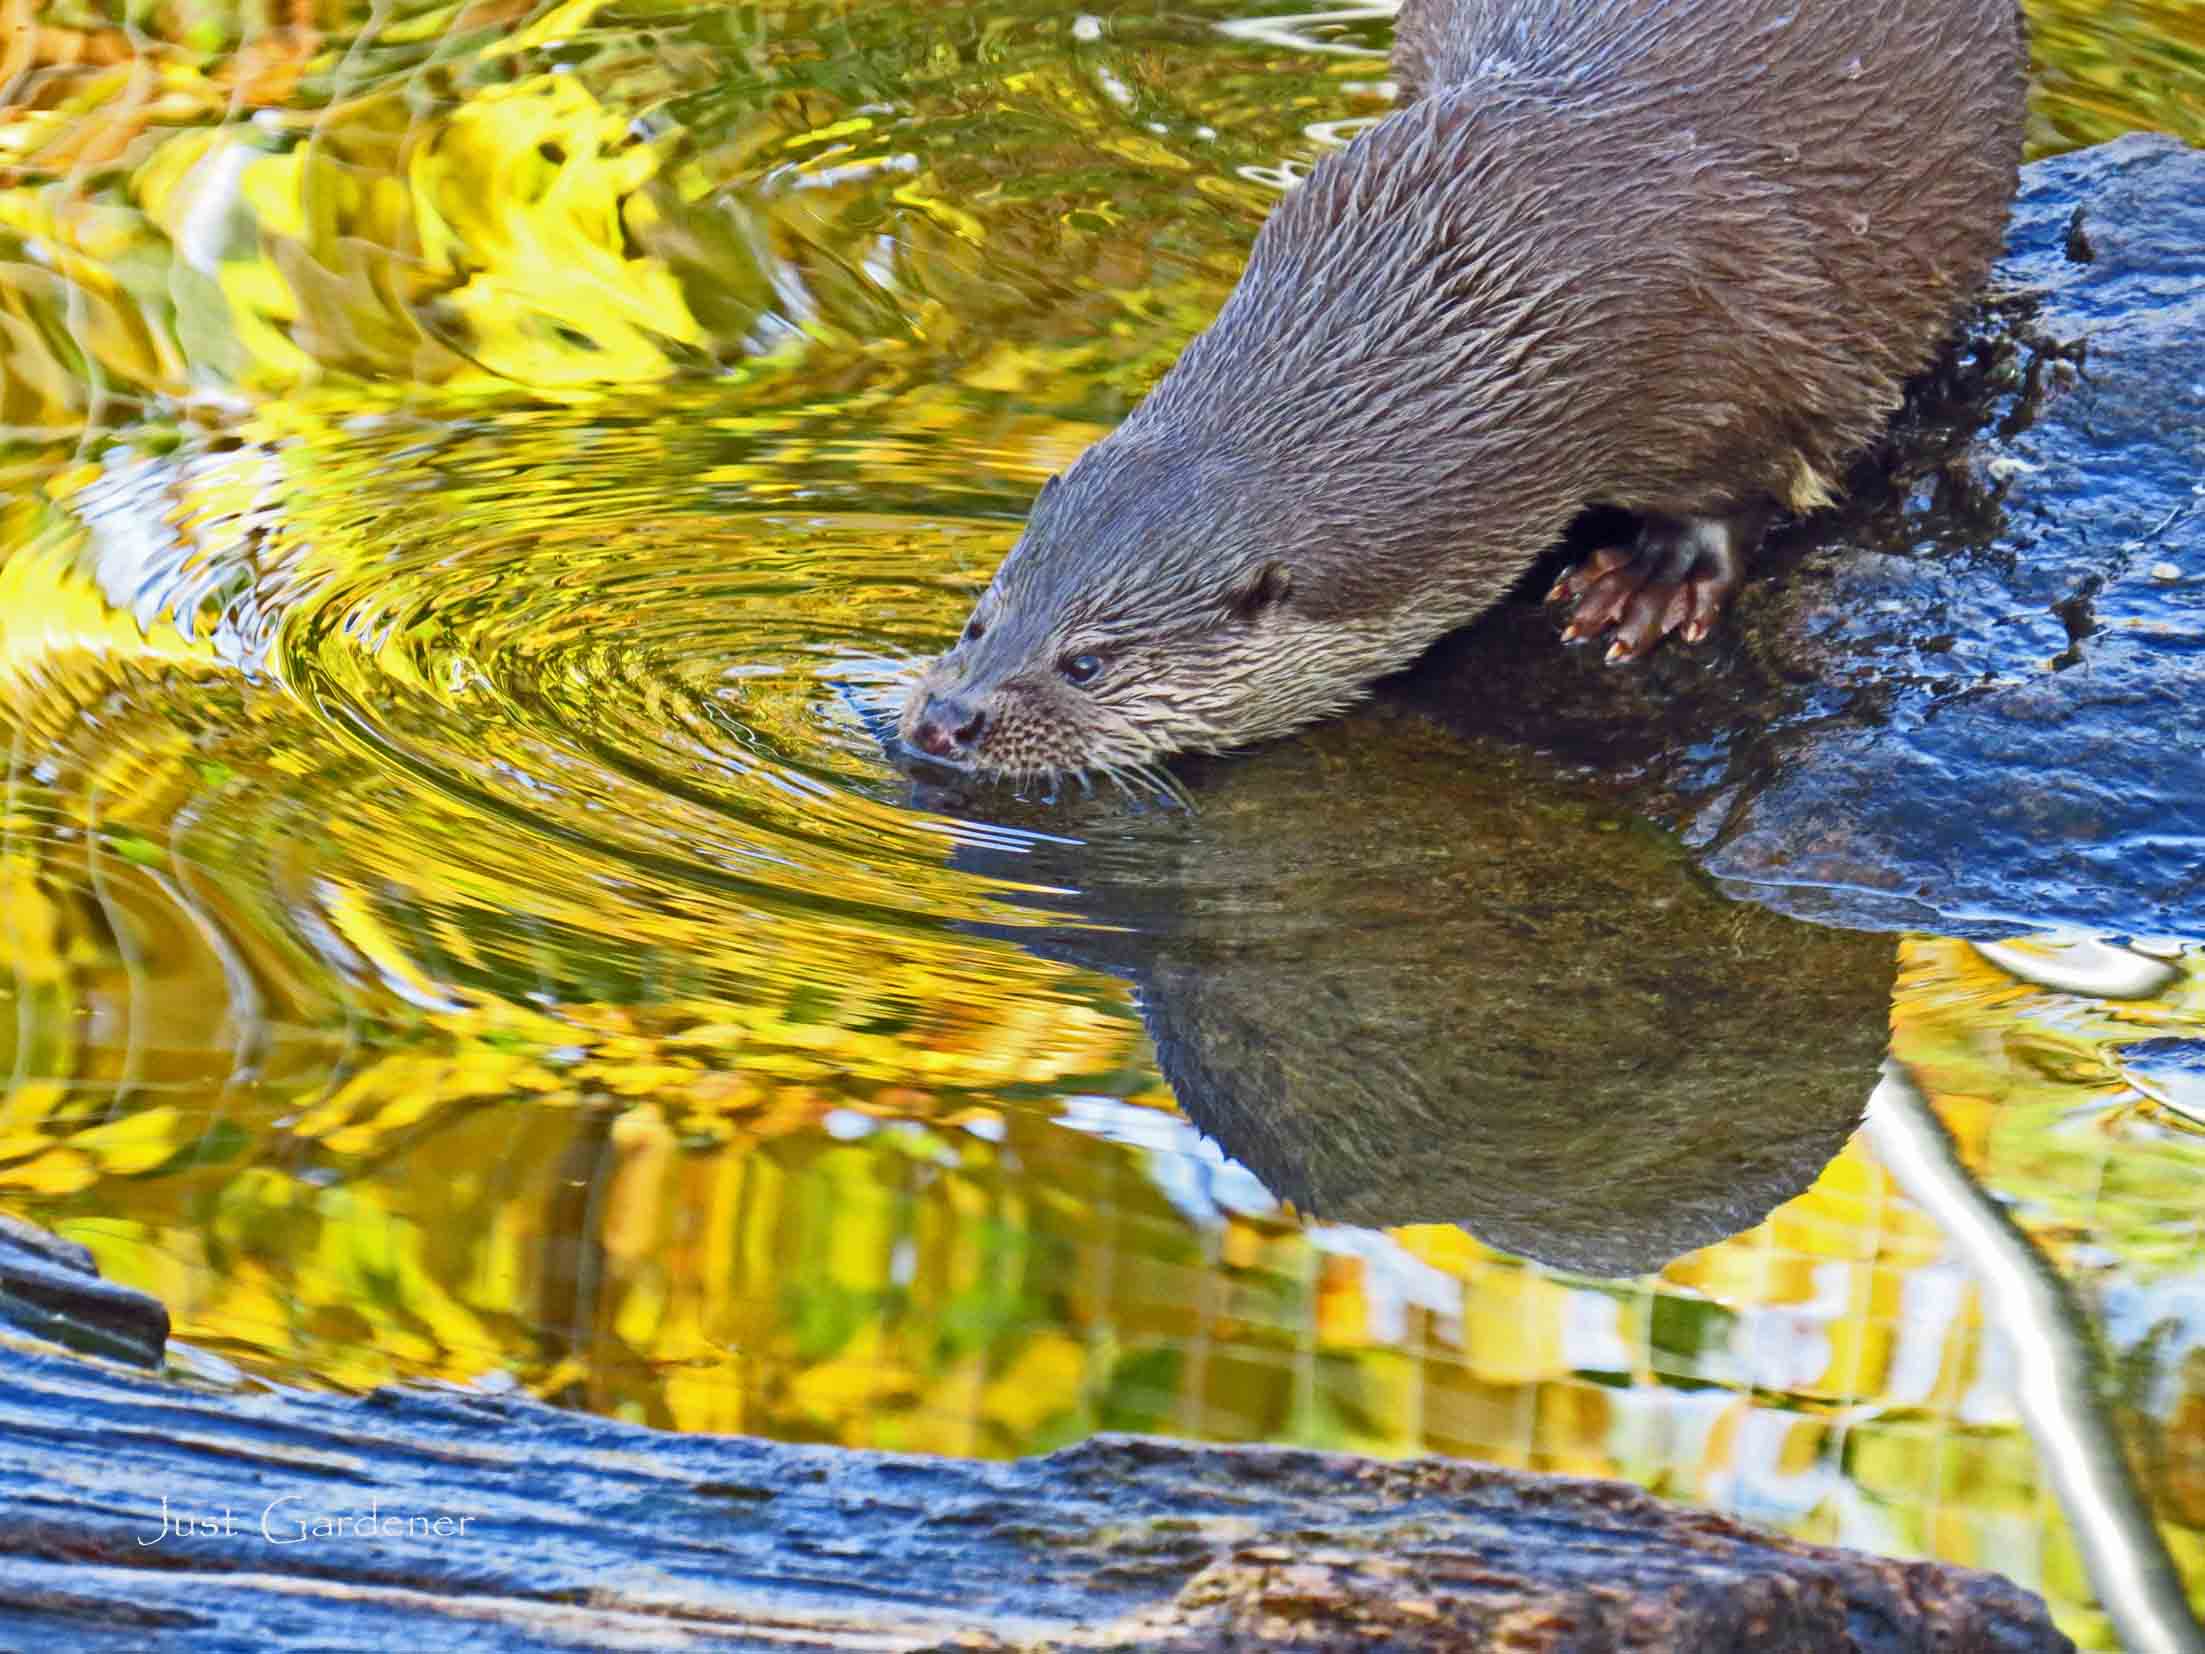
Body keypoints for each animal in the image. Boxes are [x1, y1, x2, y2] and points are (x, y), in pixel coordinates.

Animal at [899, 0, 2028, 785]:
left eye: (1086, 664)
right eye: (981, 621)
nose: (947, 720)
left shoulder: (1748, 346)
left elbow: (1752, 480)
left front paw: (1651, 582)